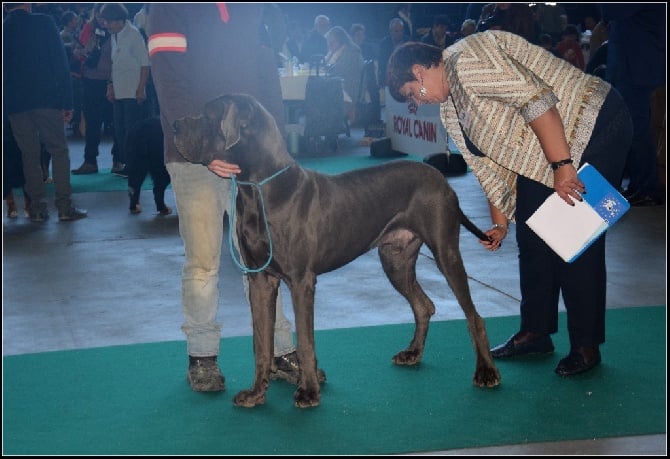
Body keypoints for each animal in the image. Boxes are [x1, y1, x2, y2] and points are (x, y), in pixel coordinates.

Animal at [175, 94, 504, 410]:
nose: (177, 127)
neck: (259, 189)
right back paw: (413, 353)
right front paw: (256, 393)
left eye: (207, 116)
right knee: (424, 305)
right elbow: (261, 343)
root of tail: (439, 177)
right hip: (395, 260)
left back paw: (486, 372)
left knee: (473, 315)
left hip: (445, 252)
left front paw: (308, 391)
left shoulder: (301, 281)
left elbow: (305, 342)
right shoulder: (260, 280)